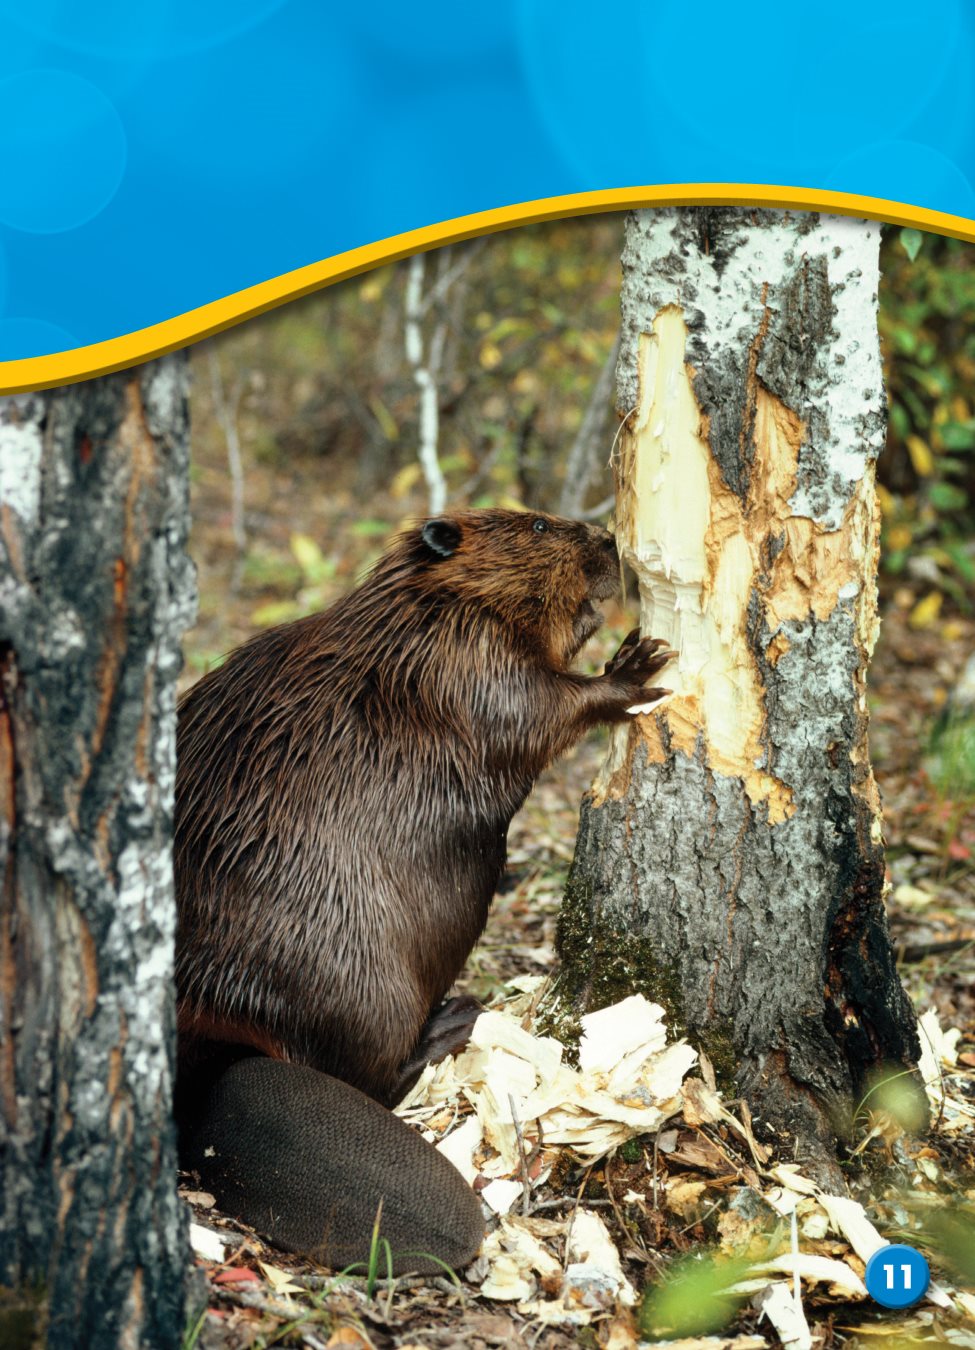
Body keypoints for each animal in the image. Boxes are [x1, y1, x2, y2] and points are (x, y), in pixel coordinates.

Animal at [172, 507, 669, 1274]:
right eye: (535, 524)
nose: (608, 541)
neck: (420, 613)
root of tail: (221, 1065)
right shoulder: (461, 664)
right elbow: (535, 709)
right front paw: (636, 664)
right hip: (367, 987)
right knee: (370, 1074)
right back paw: (453, 1020)